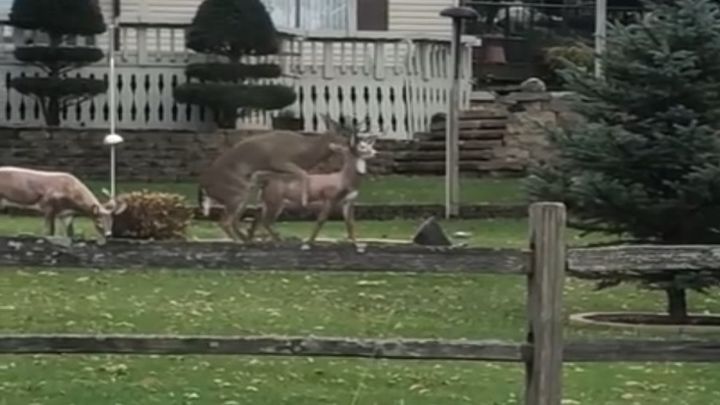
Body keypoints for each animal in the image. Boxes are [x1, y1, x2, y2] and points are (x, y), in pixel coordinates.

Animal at [197, 112, 358, 241]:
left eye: (351, 134)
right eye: (344, 134)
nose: (353, 147)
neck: (304, 151)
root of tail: (204, 186)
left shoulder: (270, 171)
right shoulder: (279, 160)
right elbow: (304, 174)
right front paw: (304, 200)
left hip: (239, 193)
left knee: (233, 219)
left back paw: (249, 238)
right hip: (235, 192)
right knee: (225, 221)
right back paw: (243, 241)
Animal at [248, 134, 380, 245]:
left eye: (370, 145)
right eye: (362, 146)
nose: (375, 152)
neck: (344, 180)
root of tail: (265, 182)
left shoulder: (349, 201)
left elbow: (350, 223)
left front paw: (356, 243)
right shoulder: (329, 197)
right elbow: (321, 220)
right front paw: (309, 242)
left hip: (270, 201)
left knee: (258, 217)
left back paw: (254, 239)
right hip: (275, 200)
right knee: (265, 221)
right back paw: (278, 240)